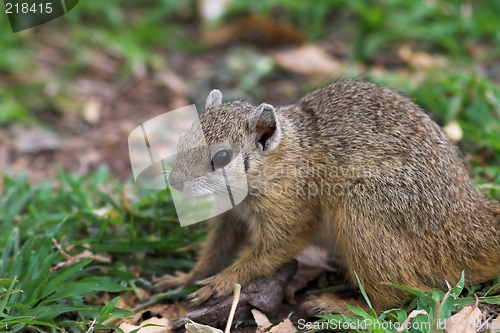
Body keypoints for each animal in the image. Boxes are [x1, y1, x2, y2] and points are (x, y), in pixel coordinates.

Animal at [155, 80, 500, 314]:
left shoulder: (292, 209)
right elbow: (216, 249)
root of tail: (465, 221)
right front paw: (186, 277)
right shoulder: (231, 217)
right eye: (183, 139)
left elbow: (272, 250)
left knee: (396, 298)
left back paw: (342, 307)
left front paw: (224, 281)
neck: (290, 154)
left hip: (365, 213)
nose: (175, 181)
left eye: (223, 156)